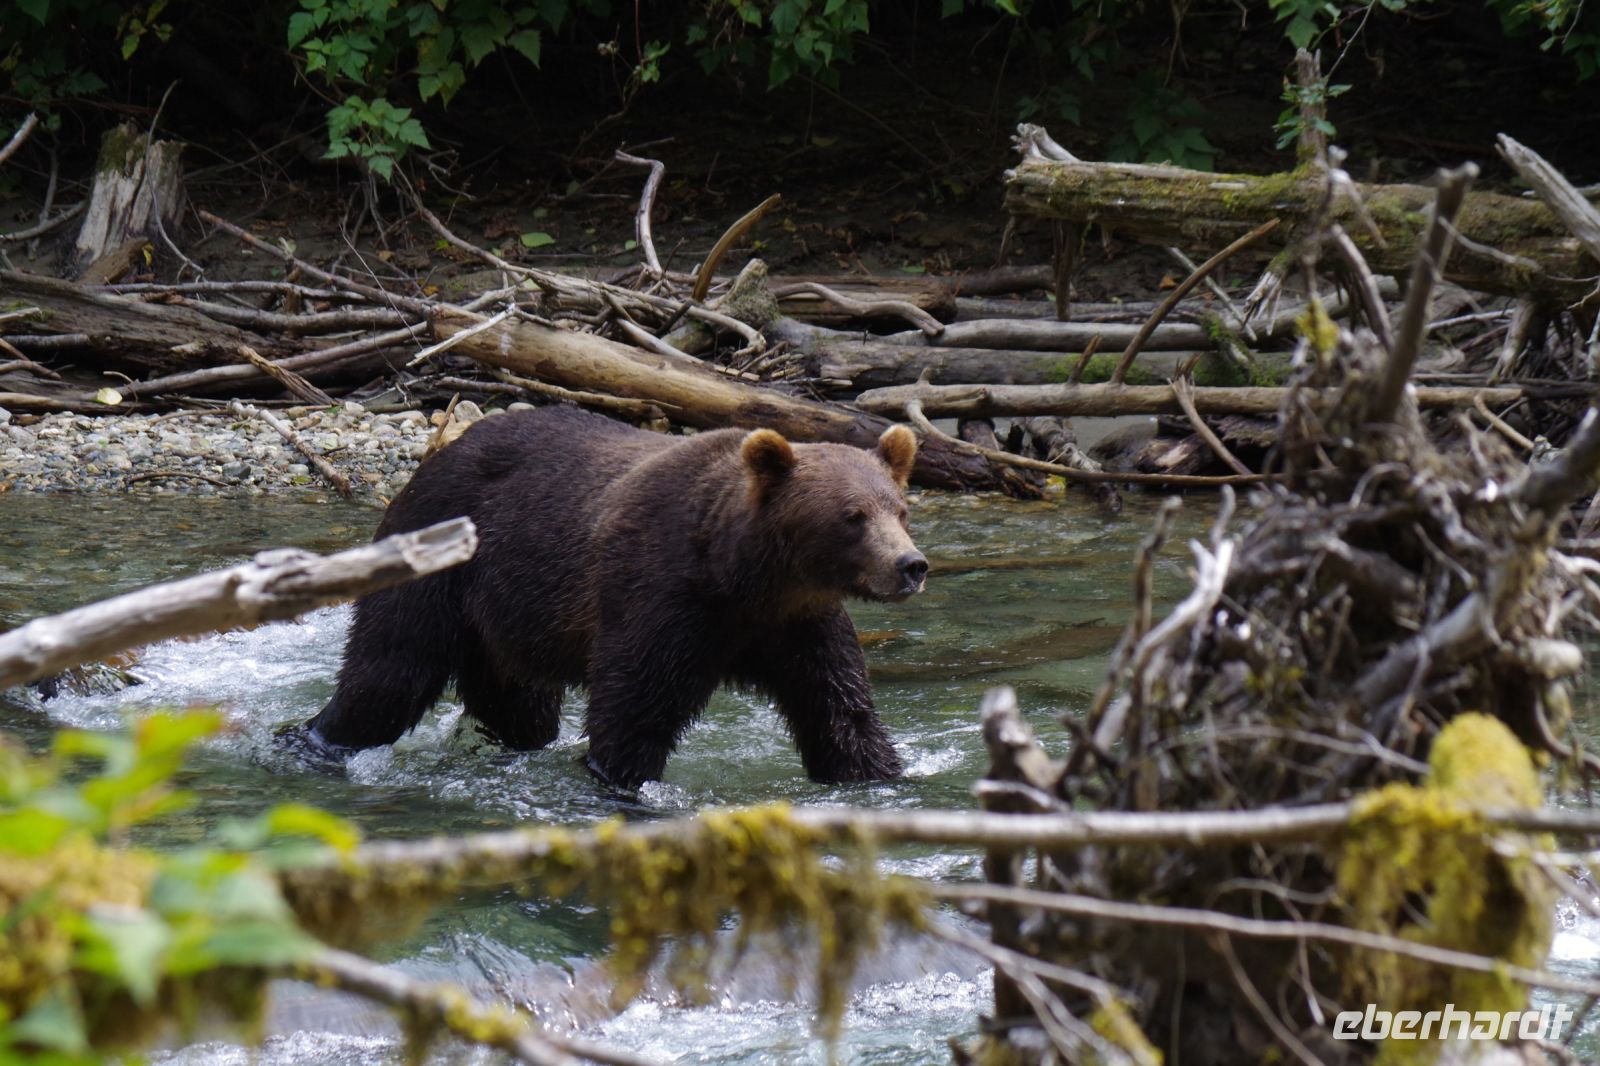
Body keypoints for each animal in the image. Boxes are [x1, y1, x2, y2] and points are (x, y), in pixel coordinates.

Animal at [304, 405, 927, 789]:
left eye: (899, 509)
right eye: (851, 516)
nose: (911, 566)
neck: (743, 580)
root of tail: (434, 459)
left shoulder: (798, 624)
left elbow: (840, 710)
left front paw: (877, 773)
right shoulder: (659, 595)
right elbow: (633, 710)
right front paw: (621, 780)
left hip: (505, 619)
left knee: (518, 704)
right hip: (440, 563)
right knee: (389, 670)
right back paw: (318, 739)